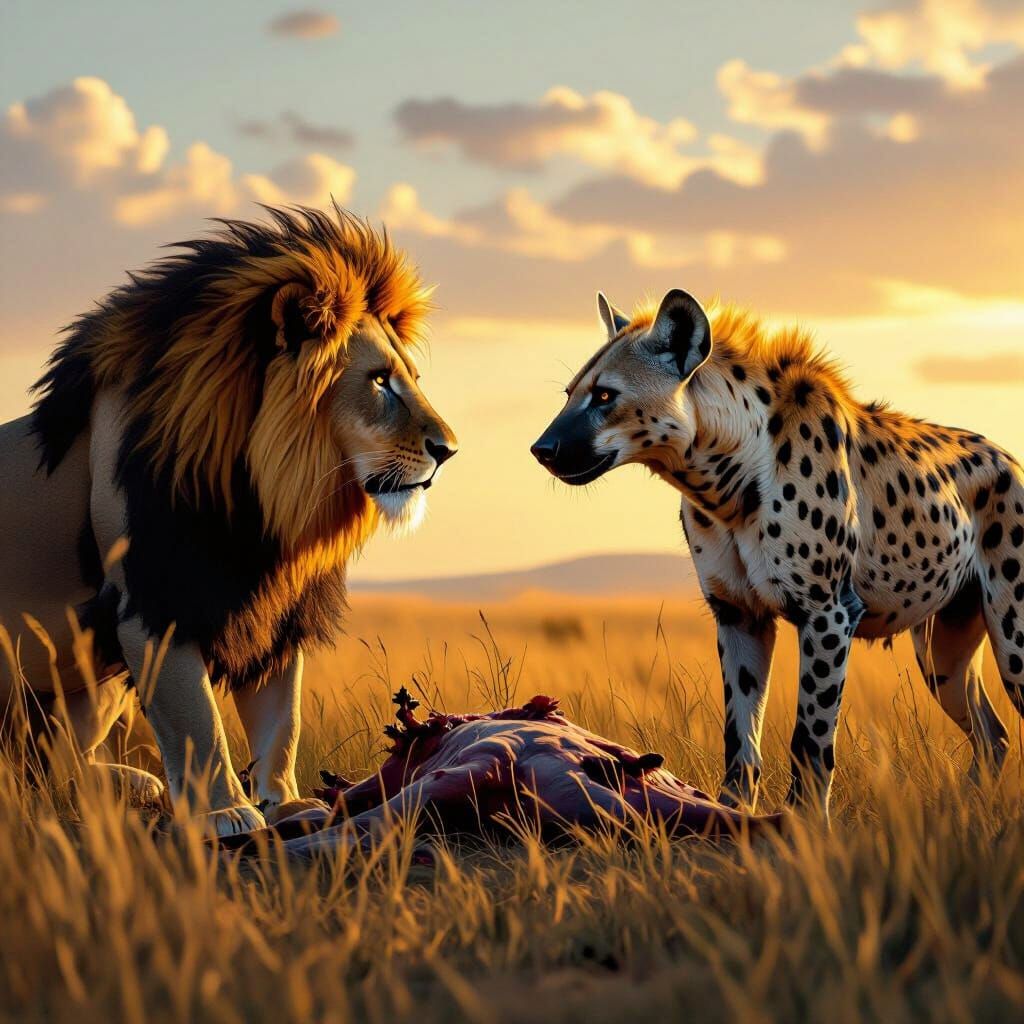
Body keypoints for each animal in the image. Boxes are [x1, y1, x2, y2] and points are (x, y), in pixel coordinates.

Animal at [0, 205, 458, 836]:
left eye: (409, 376)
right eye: (379, 380)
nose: (449, 449)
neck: (262, 504)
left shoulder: (275, 604)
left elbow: (281, 720)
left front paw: (285, 802)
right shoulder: (156, 599)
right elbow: (197, 720)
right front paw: (226, 812)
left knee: (59, 766)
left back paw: (134, 784)